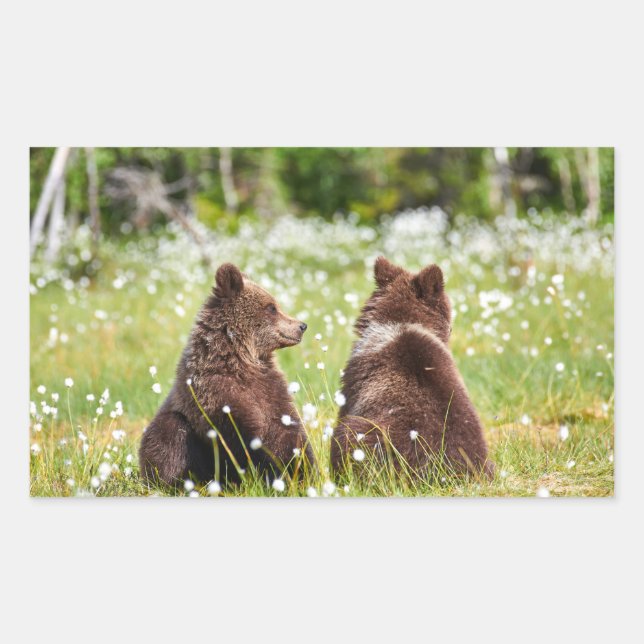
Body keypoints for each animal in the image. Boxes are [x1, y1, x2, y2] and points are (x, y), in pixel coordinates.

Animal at [139, 262, 311, 487]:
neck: (242, 361)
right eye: (271, 307)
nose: (302, 326)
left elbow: (287, 430)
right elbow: (238, 436)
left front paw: (301, 470)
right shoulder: (215, 392)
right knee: (170, 435)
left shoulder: (271, 389)